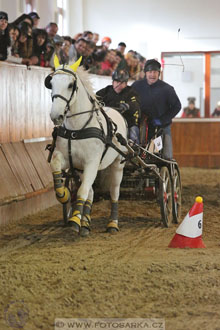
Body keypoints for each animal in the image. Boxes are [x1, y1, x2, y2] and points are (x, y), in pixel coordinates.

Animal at [45, 57, 127, 237]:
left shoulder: (92, 163)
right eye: (51, 83)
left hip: (117, 164)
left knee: (114, 192)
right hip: (81, 169)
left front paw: (75, 221)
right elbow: (56, 166)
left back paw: (112, 223)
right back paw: (86, 223)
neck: (77, 129)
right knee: (91, 191)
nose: (56, 116)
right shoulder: (68, 160)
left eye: (71, 85)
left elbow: (82, 191)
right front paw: (64, 195)